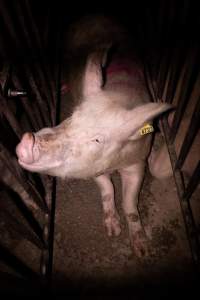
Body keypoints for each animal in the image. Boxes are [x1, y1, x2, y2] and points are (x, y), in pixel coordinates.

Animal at [16, 15, 171, 256]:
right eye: (71, 117)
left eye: (98, 139)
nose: (26, 140)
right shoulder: (91, 167)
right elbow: (107, 187)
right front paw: (113, 231)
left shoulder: (138, 159)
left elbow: (130, 202)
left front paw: (142, 250)